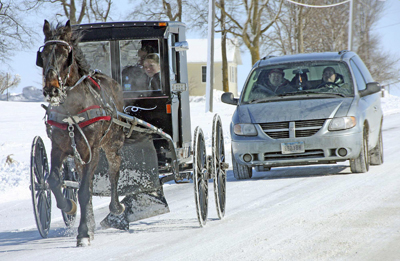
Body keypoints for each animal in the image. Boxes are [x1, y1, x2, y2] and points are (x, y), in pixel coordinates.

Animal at [37, 20, 126, 246]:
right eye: (44, 54)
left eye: (64, 53)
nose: (51, 89)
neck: (72, 112)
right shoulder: (58, 148)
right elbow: (53, 180)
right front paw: (70, 206)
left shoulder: (91, 150)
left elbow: (85, 190)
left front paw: (84, 233)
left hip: (112, 144)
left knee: (114, 170)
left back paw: (116, 207)